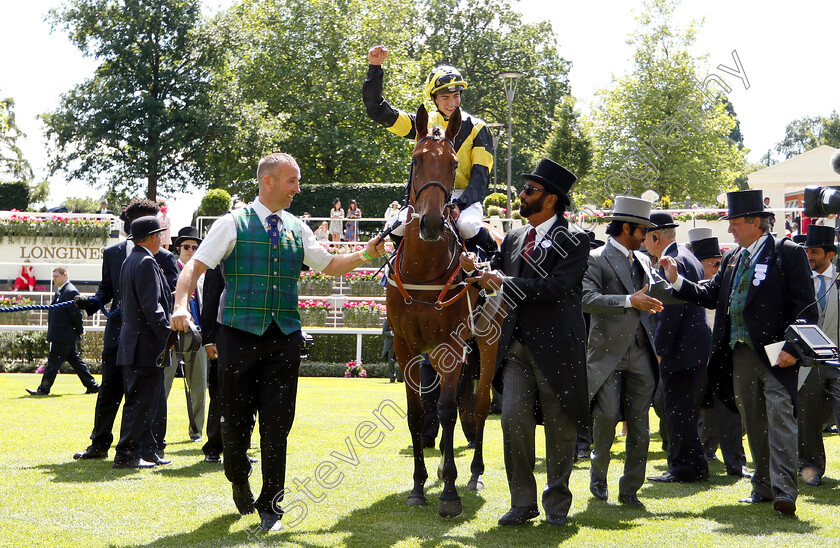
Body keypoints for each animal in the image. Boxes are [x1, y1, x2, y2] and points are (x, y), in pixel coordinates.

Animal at [386, 104, 498, 520]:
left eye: (452, 164)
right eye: (416, 160)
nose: (433, 222)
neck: (424, 270)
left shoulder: (452, 345)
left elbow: (449, 409)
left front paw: (449, 493)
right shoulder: (406, 346)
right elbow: (416, 412)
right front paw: (418, 486)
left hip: (487, 343)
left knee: (479, 406)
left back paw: (474, 474)